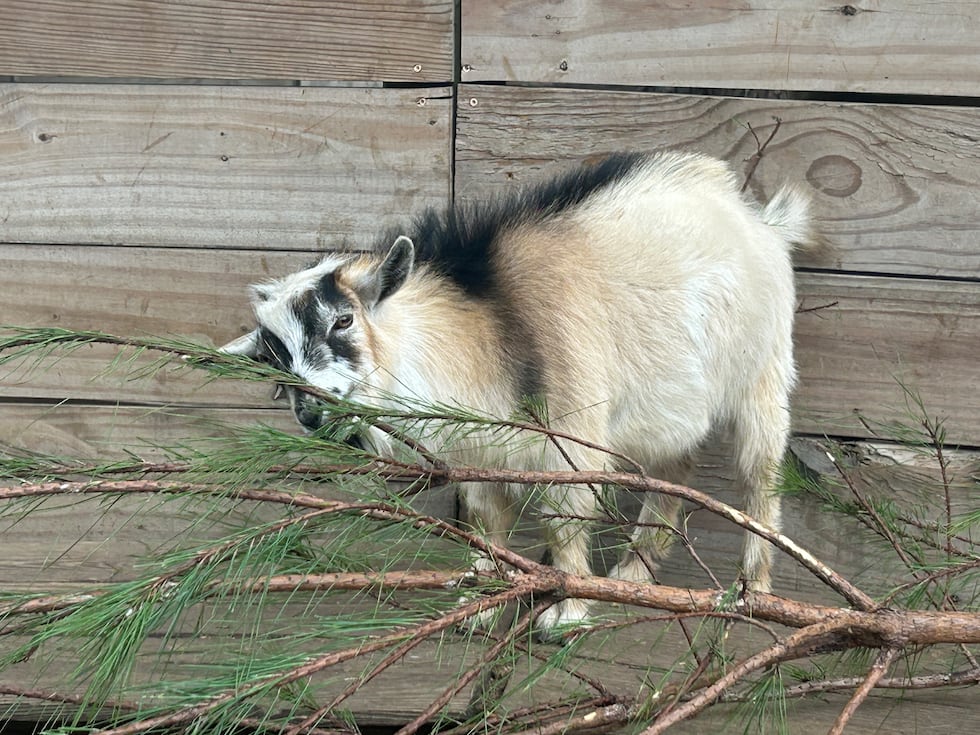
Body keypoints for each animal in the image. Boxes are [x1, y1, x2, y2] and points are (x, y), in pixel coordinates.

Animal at [220, 151, 820, 634]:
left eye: (343, 320)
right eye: (273, 361)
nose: (310, 412)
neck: (490, 328)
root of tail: (759, 220)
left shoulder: (570, 439)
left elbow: (565, 520)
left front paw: (567, 610)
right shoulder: (479, 451)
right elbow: (488, 522)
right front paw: (483, 600)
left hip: (765, 372)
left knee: (760, 475)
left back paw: (751, 590)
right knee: (673, 472)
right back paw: (635, 574)